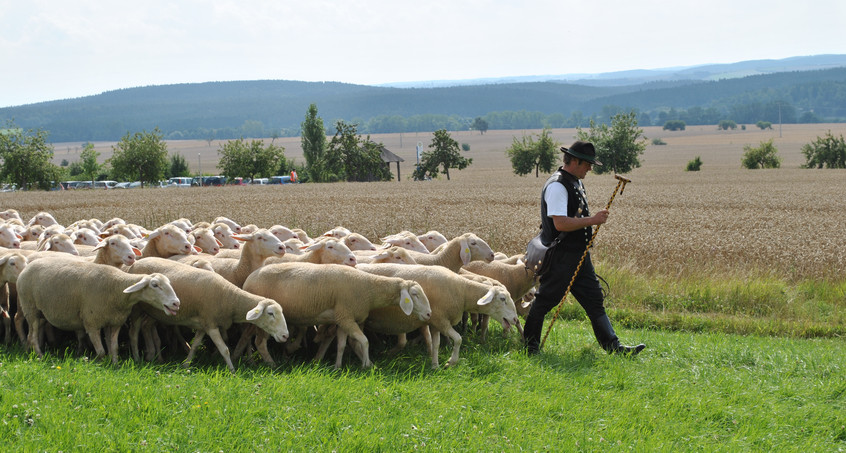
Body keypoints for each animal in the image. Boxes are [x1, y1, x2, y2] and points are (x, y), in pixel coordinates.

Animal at [16, 256, 181, 362]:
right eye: (155, 285)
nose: (176, 303)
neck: (116, 288)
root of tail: (27, 267)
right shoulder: (91, 322)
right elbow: (101, 351)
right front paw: (101, 363)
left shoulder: (115, 322)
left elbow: (114, 347)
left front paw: (115, 364)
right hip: (30, 308)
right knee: (32, 335)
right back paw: (39, 356)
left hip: (41, 312)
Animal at [126, 258, 290, 370]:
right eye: (270, 313)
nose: (285, 336)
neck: (229, 298)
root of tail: (136, 263)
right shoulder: (211, 324)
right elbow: (224, 349)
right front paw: (232, 370)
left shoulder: (203, 325)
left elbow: (195, 345)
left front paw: (186, 364)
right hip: (137, 308)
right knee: (133, 332)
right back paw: (137, 358)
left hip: (152, 312)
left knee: (145, 327)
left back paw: (153, 356)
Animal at [243, 262, 430, 368]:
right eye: (415, 294)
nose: (429, 314)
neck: (369, 288)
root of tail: (247, 280)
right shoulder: (346, 317)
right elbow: (364, 341)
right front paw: (367, 365)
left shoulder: (343, 318)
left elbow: (341, 344)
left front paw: (338, 366)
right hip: (265, 320)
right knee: (260, 343)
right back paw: (272, 364)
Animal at [356, 262, 520, 368]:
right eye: (503, 299)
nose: (515, 319)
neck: (462, 291)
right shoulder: (441, 320)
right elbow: (458, 339)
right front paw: (450, 362)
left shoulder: (434, 322)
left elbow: (436, 344)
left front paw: (435, 366)